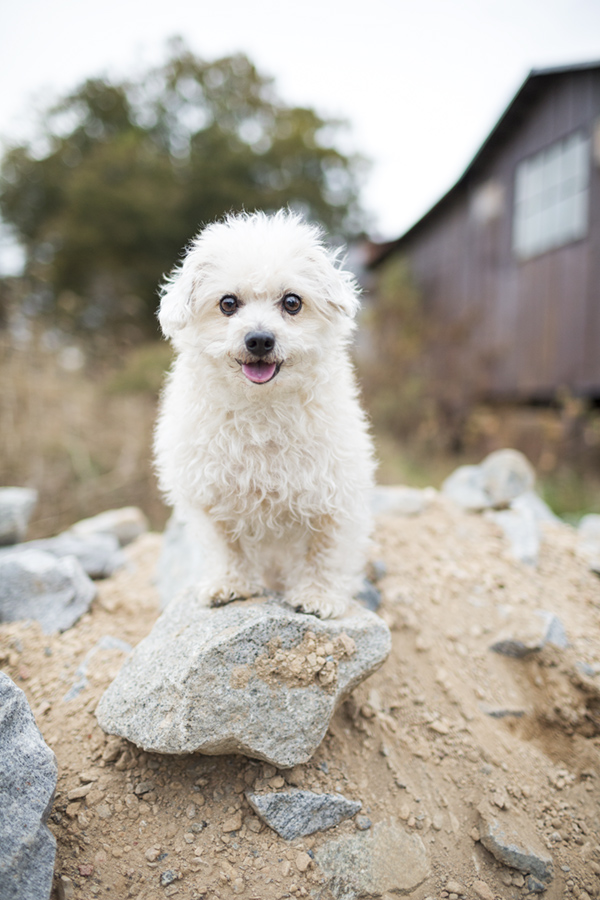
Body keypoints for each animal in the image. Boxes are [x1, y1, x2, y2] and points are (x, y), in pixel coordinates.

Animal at [152, 211, 372, 620]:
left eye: (292, 302)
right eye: (227, 303)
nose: (259, 340)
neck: (261, 409)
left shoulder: (335, 497)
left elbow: (324, 552)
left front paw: (318, 596)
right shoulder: (209, 499)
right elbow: (226, 547)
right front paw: (229, 585)